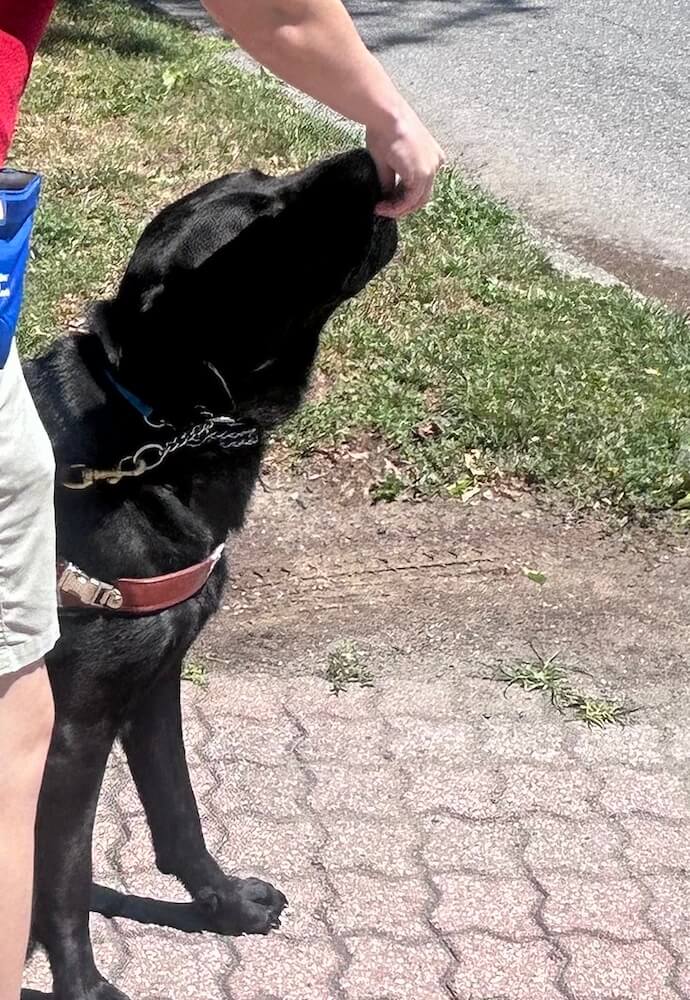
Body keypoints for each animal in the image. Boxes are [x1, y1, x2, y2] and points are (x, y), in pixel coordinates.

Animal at [24, 150, 396, 1000]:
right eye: (261, 230)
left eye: (266, 178)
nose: (366, 154)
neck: (154, 436)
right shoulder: (72, 728)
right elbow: (64, 874)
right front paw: (83, 986)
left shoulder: (154, 681)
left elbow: (180, 812)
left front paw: (223, 904)